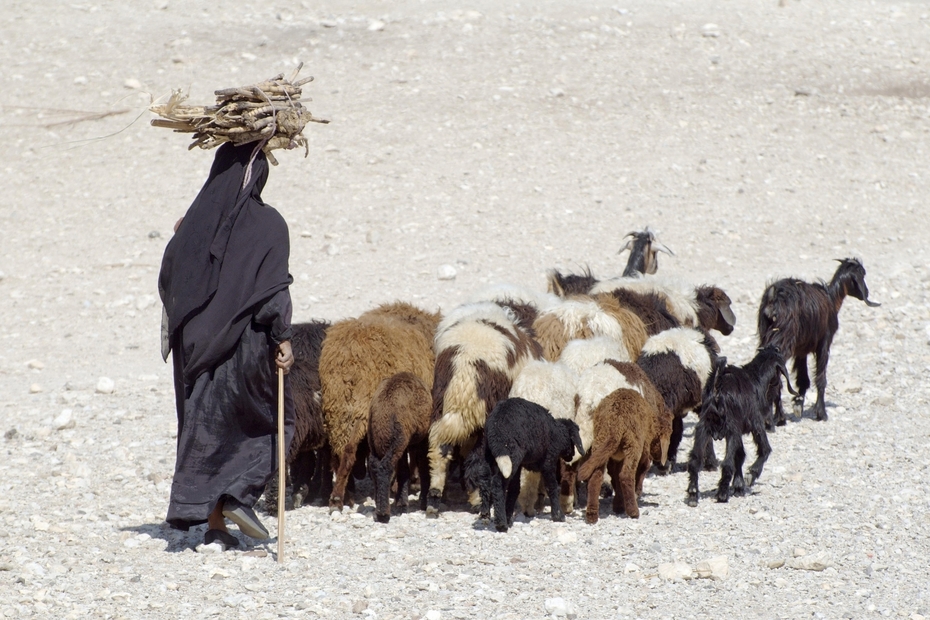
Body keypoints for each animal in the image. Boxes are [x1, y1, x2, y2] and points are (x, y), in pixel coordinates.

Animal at [576, 388, 672, 524]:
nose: (661, 457)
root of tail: (616, 424)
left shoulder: (614, 457)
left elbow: (615, 477)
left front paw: (618, 505)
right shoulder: (643, 451)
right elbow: (641, 470)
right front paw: (632, 496)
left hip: (600, 443)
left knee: (596, 477)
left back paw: (591, 515)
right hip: (633, 445)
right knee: (626, 476)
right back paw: (633, 512)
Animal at [680, 346, 796, 506]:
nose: (779, 390)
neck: (755, 380)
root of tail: (717, 391)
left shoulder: (737, 430)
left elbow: (740, 455)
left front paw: (739, 487)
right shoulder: (755, 423)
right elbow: (764, 449)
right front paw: (751, 475)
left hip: (703, 428)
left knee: (694, 461)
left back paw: (692, 495)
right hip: (731, 429)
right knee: (727, 464)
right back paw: (722, 494)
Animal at [752, 256, 876, 426]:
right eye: (862, 275)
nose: (868, 291)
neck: (831, 299)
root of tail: (773, 298)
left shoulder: (801, 349)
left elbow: (803, 380)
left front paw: (798, 404)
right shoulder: (824, 342)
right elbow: (820, 378)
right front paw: (821, 413)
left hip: (767, 336)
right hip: (784, 339)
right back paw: (779, 417)